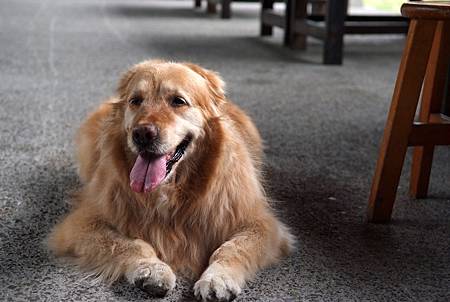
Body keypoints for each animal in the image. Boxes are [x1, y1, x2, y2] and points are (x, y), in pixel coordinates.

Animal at [48, 60, 296, 300]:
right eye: (135, 100)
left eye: (178, 101)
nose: (142, 134)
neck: (171, 191)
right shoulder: (81, 224)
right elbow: (128, 244)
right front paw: (152, 269)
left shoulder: (261, 224)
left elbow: (231, 248)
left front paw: (217, 278)